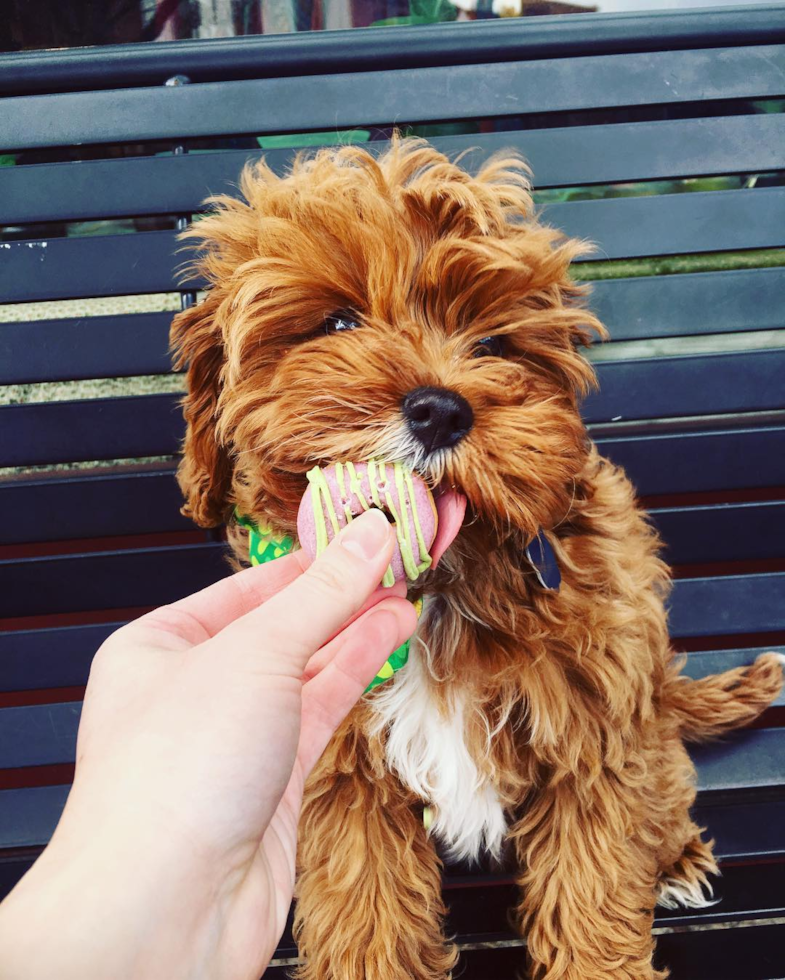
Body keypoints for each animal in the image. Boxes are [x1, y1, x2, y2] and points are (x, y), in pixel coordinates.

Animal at [168, 138, 780, 980]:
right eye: (336, 321)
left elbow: (593, 894)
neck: (447, 579)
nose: (439, 408)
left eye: (493, 344)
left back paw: (677, 855)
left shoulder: (594, 731)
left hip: (641, 707)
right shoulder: (343, 773)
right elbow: (366, 916)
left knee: (662, 782)